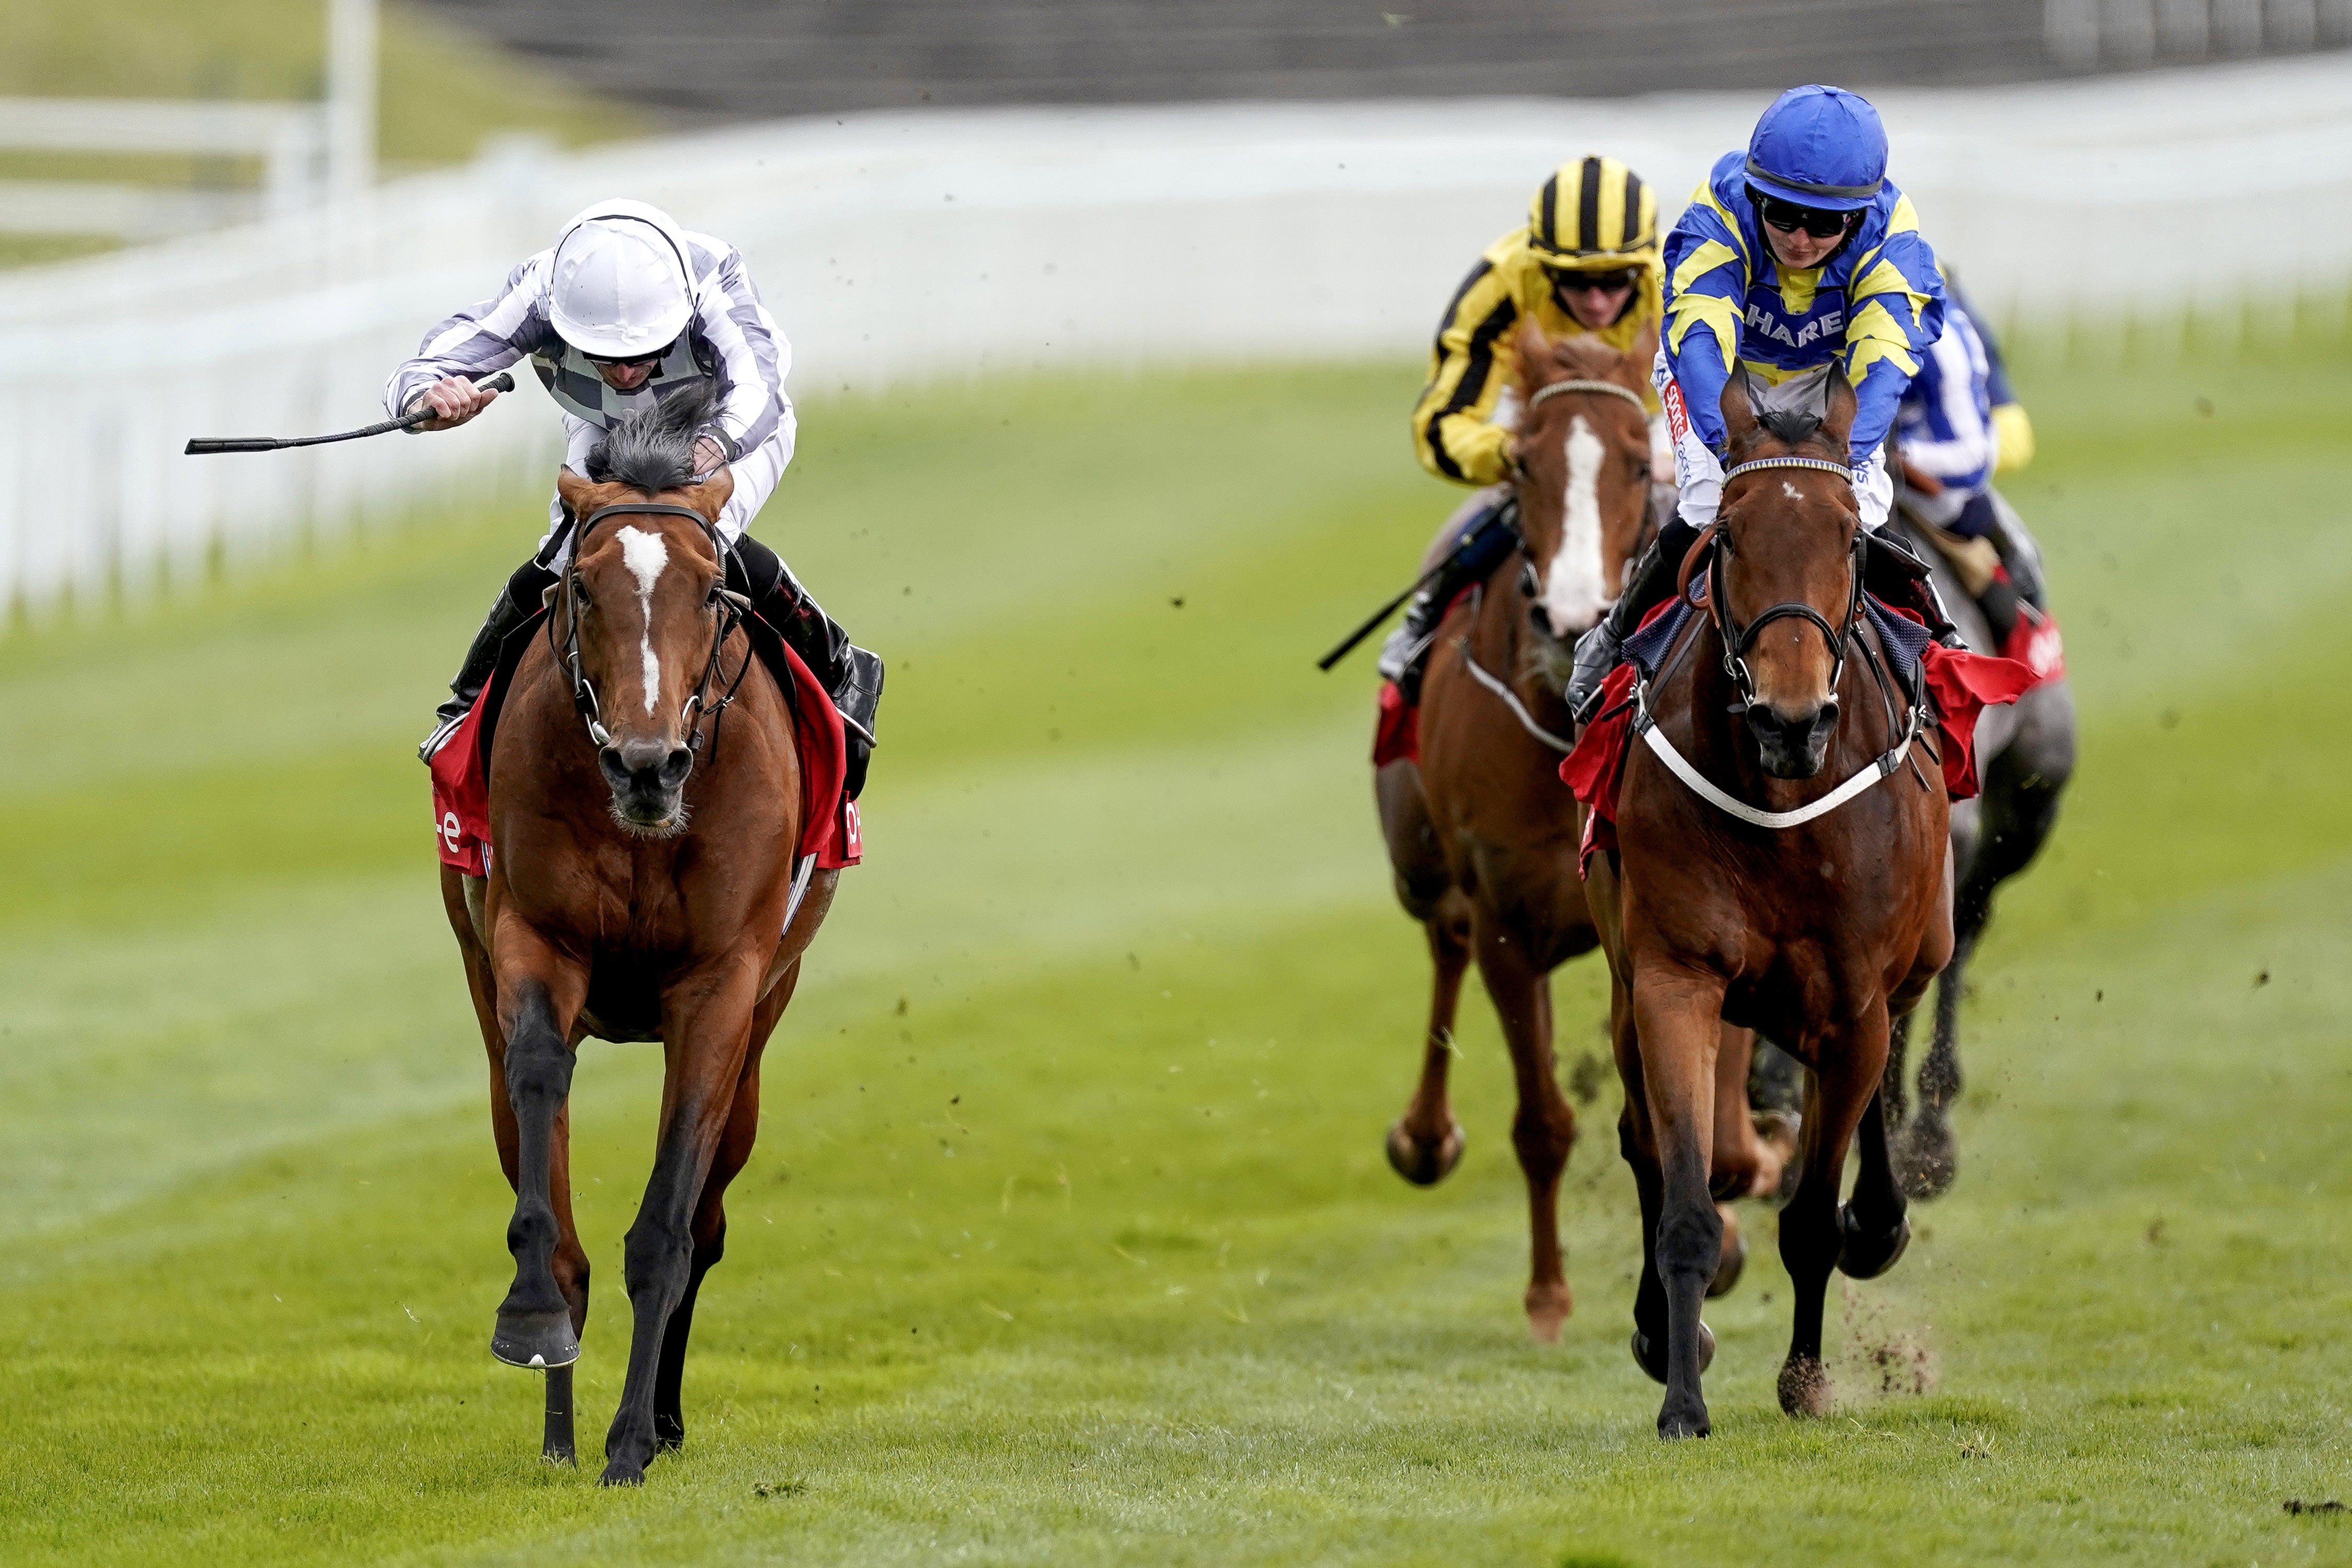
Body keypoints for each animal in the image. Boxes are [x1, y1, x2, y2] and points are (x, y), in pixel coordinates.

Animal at [435, 390, 837, 1485]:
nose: (648, 764)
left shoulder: (723, 985)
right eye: (582, 587)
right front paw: (536, 1329)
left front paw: (630, 1442)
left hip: (764, 1034)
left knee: (707, 1221)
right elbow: (544, 1108)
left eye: (711, 593)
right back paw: (561, 1429)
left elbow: (668, 1231)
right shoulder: (533, 940)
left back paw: (655, 1418)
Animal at [1374, 324, 1778, 1344]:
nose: (1571, 618)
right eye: (1525, 462)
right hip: (1424, 867)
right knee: (1444, 938)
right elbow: (1545, 1122)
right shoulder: (1510, 919)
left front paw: (1730, 1214)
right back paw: (1425, 1138)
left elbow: (1705, 1128)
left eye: (1639, 461)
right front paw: (1550, 1300)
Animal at [1590, 364, 1957, 1438]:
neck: (1783, 799)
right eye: (1727, 537)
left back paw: (1878, 1220)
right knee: (1642, 1139)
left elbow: (1809, 1221)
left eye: (1849, 539)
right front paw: (1682, 1395)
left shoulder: (1853, 997)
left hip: (1921, 950)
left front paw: (1806, 1378)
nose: (1792, 719)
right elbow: (1684, 1203)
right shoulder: (1673, 977)